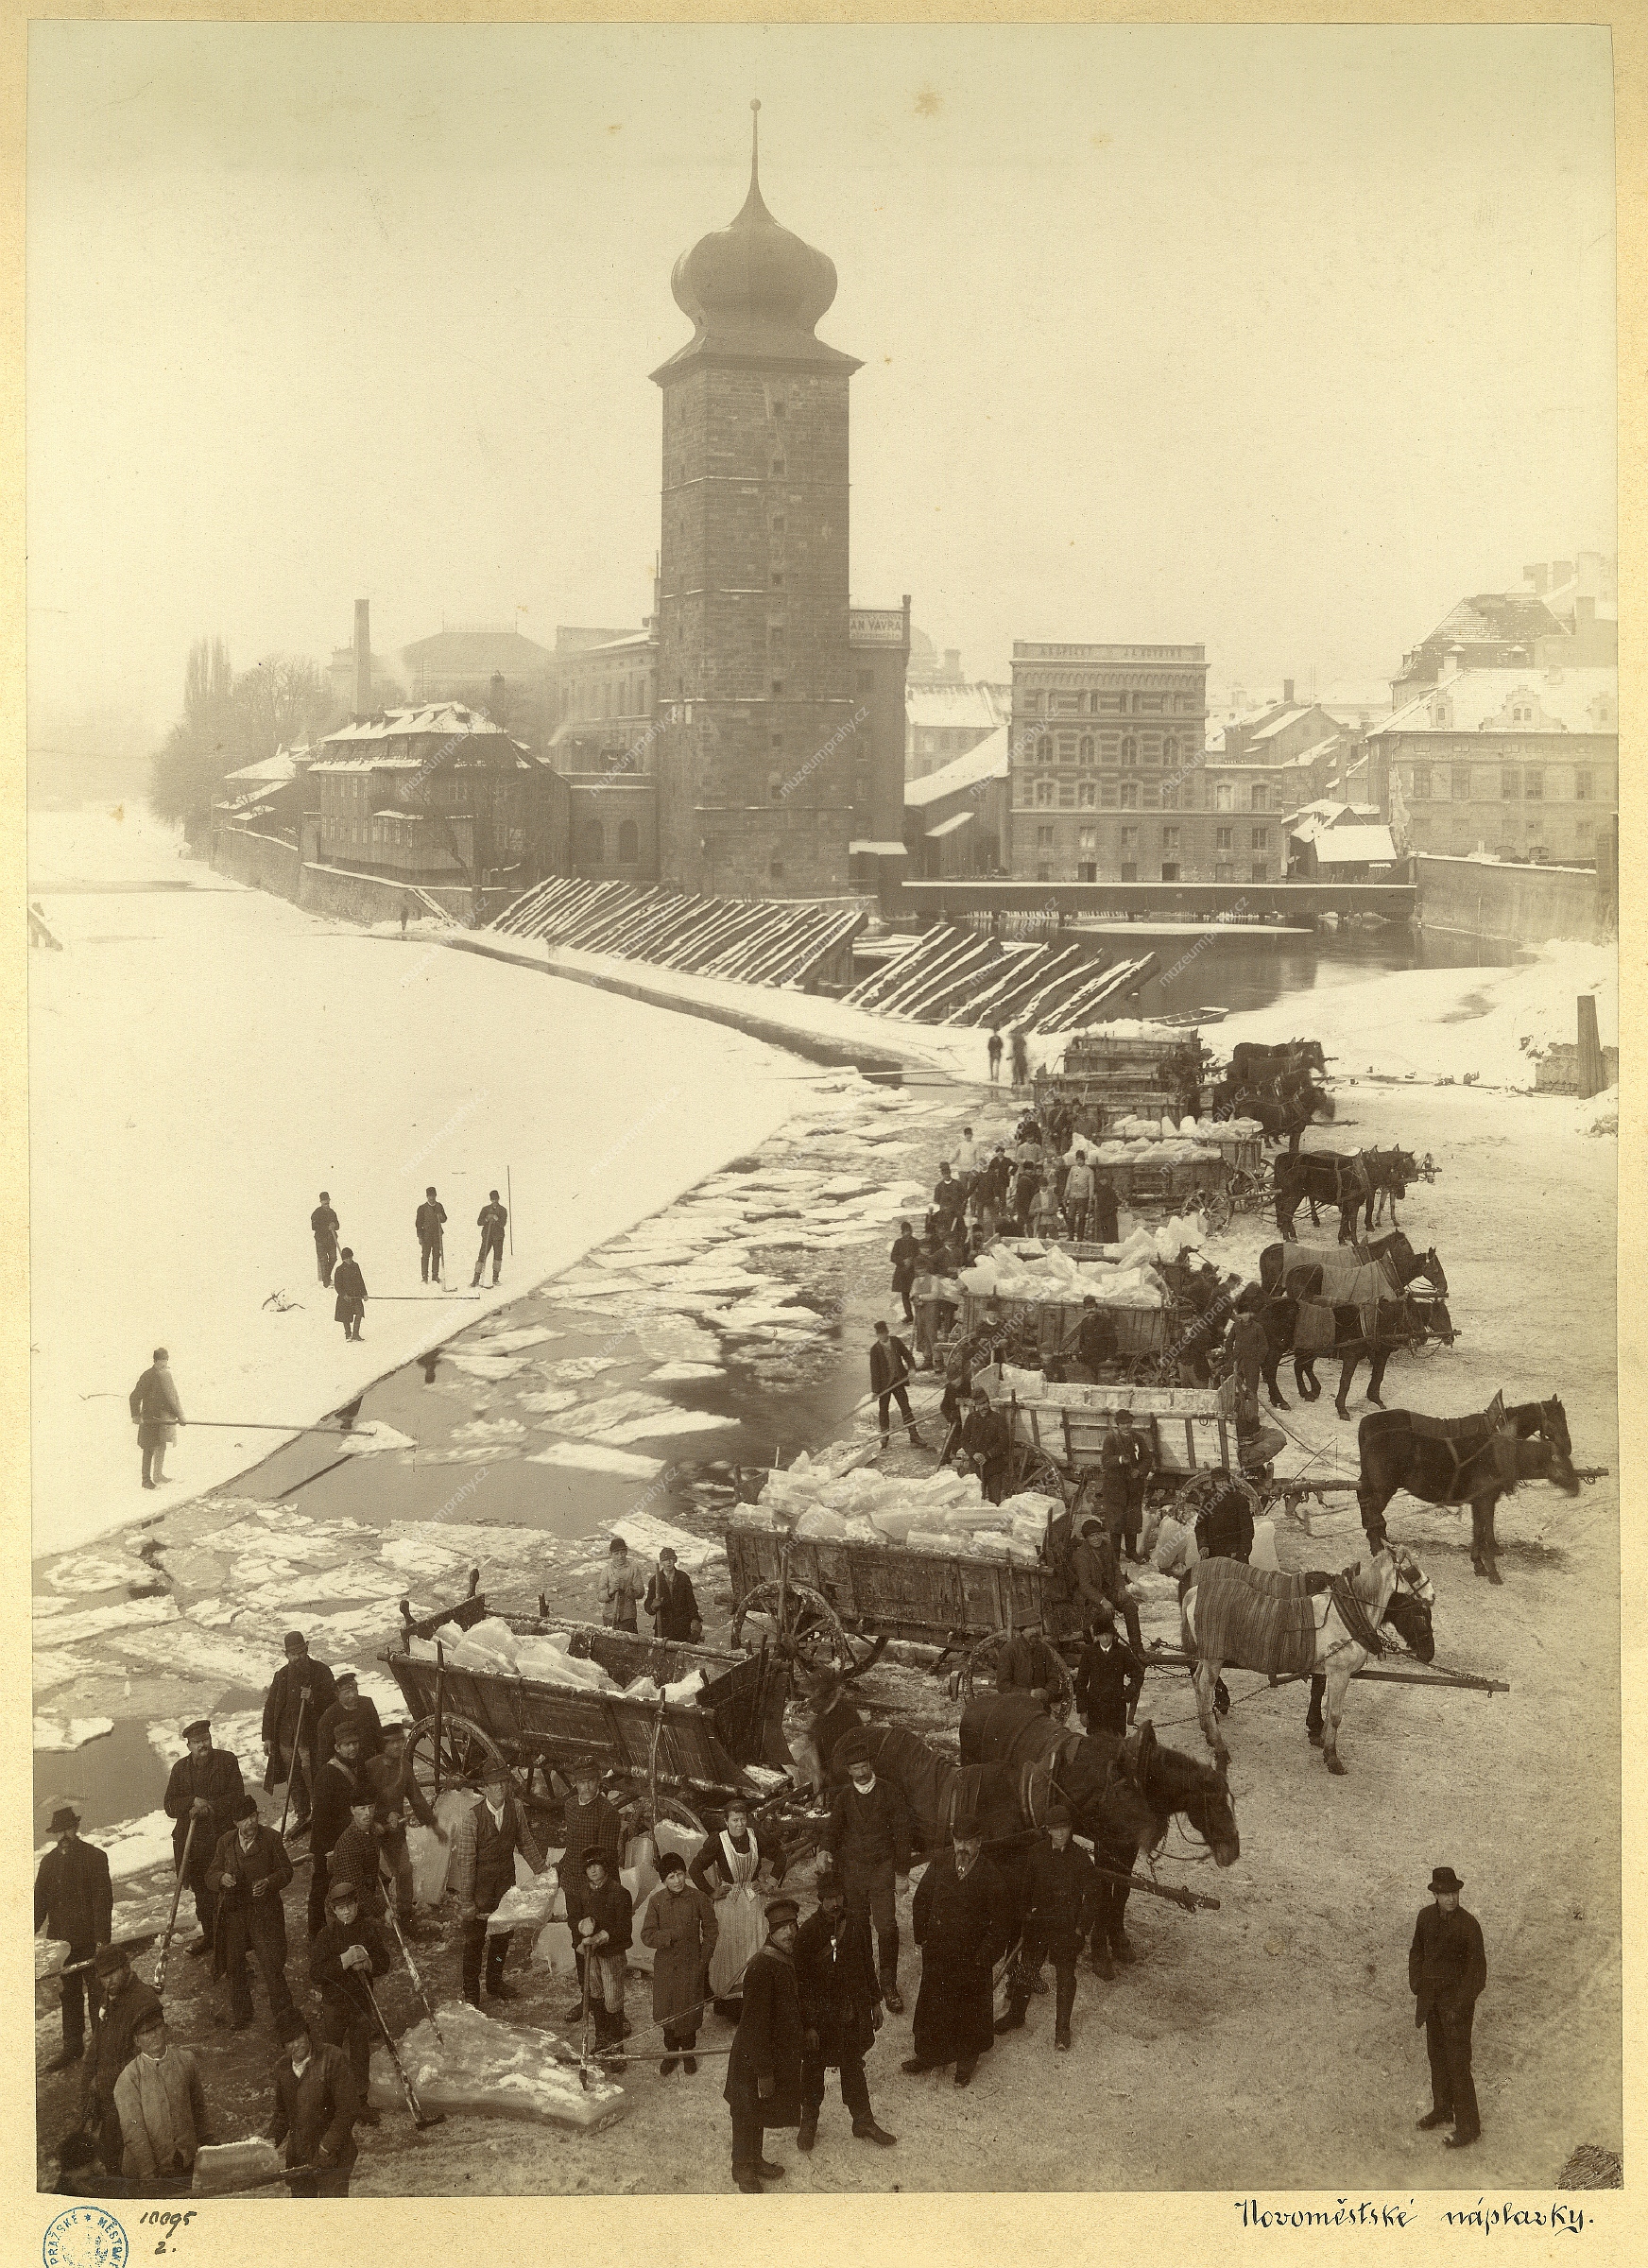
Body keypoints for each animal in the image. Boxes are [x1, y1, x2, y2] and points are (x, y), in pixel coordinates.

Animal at [1188, 1551, 1433, 1778]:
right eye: (1412, 1571)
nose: (1432, 1595)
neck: (1348, 1614)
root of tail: (1194, 1591)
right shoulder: (1339, 1673)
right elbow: (1335, 1715)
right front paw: (1332, 1757)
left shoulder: (1332, 1673)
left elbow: (1326, 1705)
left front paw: (1322, 1739)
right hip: (1214, 1658)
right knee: (1205, 1687)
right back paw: (1219, 1746)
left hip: (1207, 1657)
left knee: (1196, 1680)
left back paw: (1207, 1730)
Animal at [1360, 1406, 1577, 1588]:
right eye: (1559, 1460)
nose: (1577, 1487)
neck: (1497, 1456)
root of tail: (1370, 1439)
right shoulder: (1484, 1501)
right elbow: (1482, 1531)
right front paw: (1492, 1571)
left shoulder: (1480, 1502)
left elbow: (1479, 1530)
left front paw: (1479, 1564)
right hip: (1384, 1490)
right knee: (1372, 1514)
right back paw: (1378, 1548)